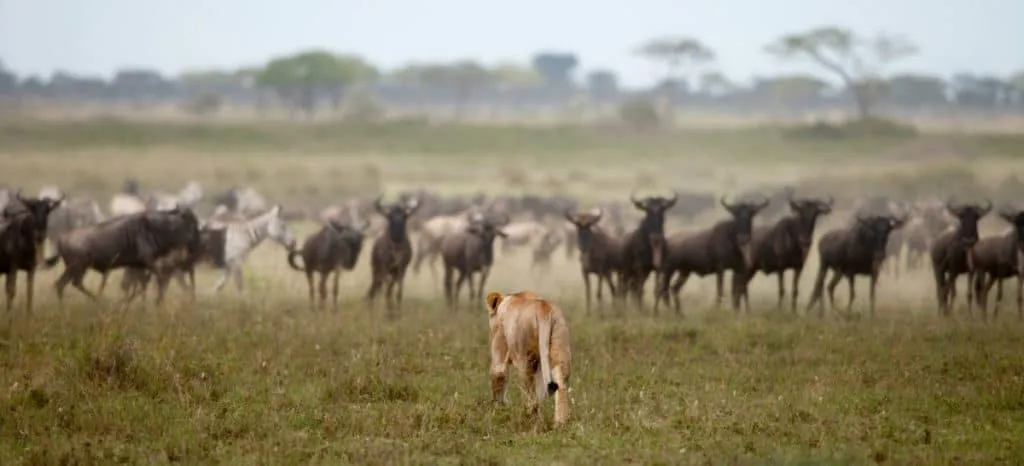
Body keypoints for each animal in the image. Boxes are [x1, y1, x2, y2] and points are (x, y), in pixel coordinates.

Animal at [484, 289, 572, 425]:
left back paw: (529, 418)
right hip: (560, 346)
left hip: (525, 358)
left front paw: (498, 408)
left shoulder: (500, 343)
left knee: (531, 397)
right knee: (560, 385)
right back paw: (560, 423)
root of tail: (544, 309)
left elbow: (498, 374)